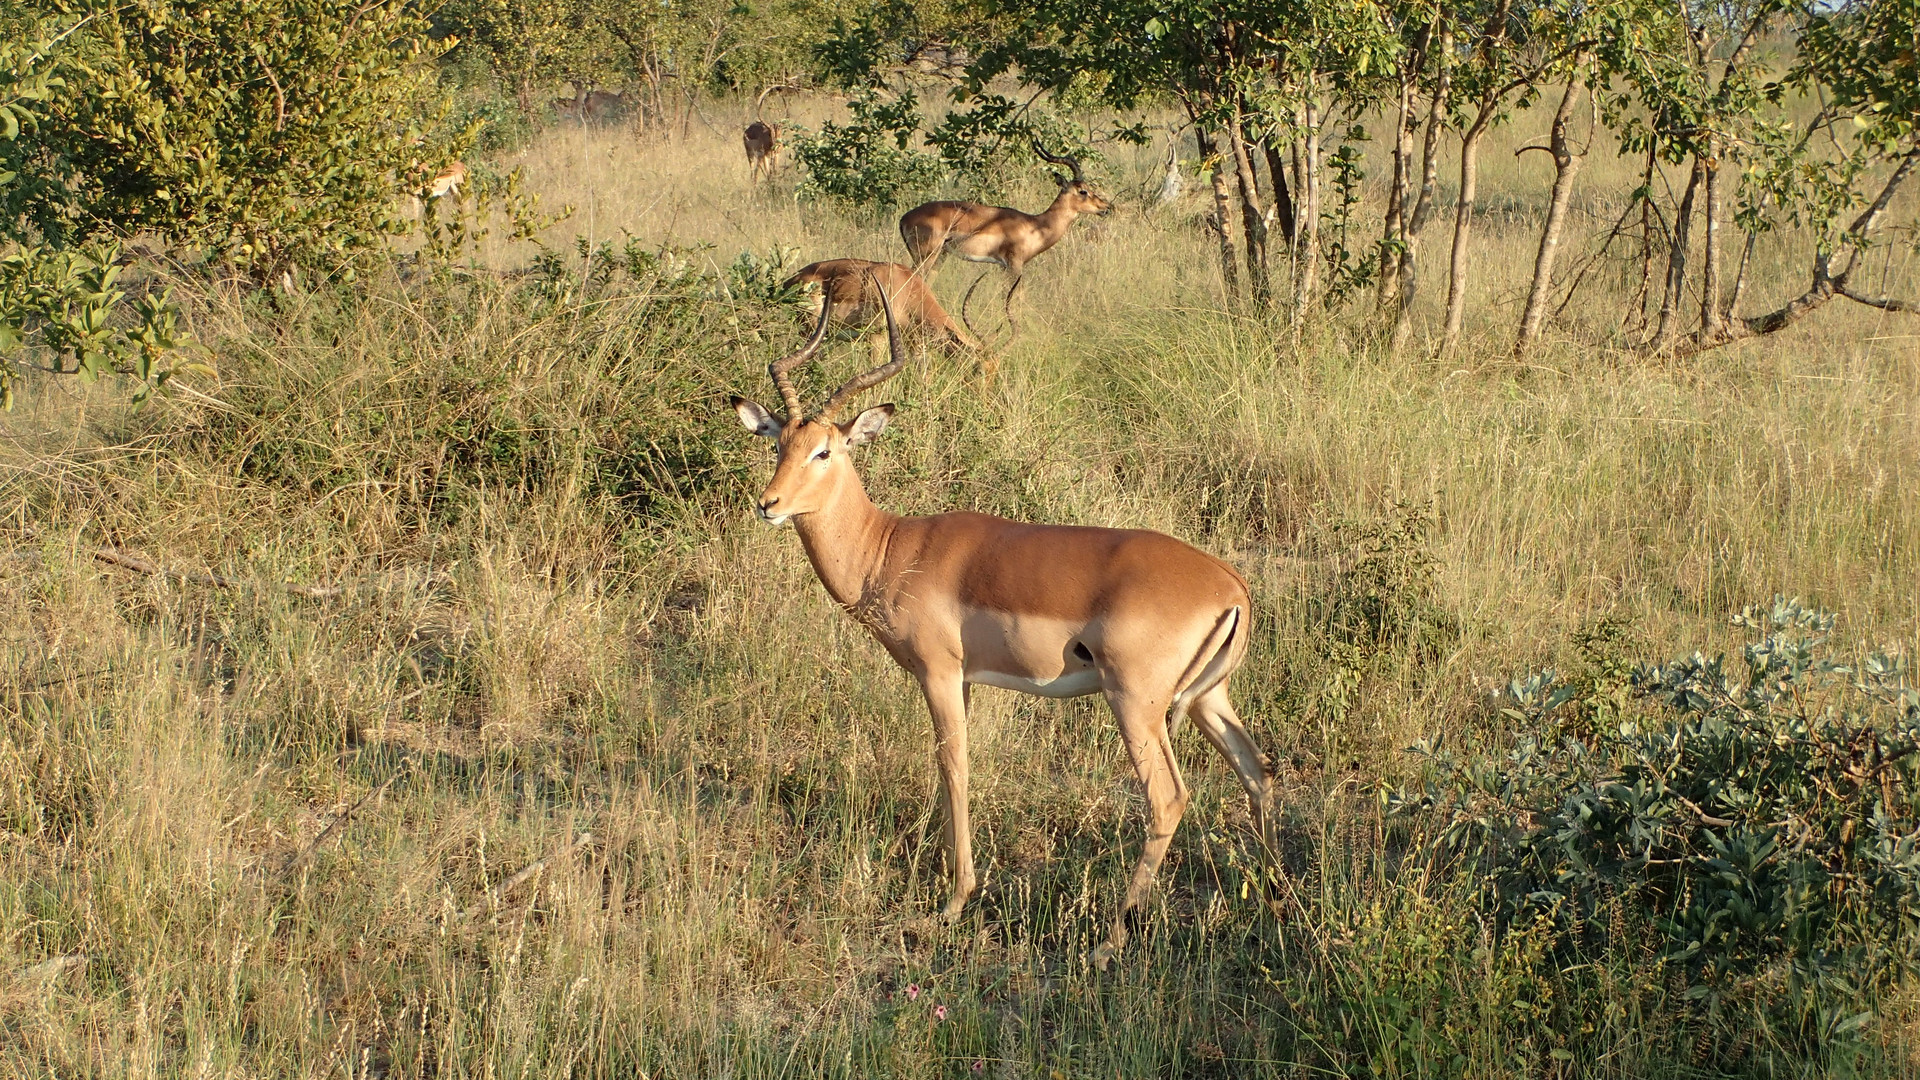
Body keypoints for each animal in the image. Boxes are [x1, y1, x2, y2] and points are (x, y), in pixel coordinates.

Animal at [725, 272, 1267, 960]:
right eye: (779, 442)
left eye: (825, 450)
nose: (768, 504)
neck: (893, 548)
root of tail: (1231, 584)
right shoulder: (963, 681)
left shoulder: (938, 673)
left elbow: (954, 766)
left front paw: (954, 902)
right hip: (1207, 699)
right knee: (1257, 768)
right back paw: (1276, 899)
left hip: (1137, 703)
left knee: (1168, 798)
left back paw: (1111, 939)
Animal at [894, 143, 1113, 334]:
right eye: (1083, 190)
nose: (1106, 207)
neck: (1036, 225)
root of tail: (904, 218)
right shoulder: (1014, 264)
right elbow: (1017, 297)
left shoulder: (1002, 266)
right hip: (926, 256)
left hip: (940, 256)